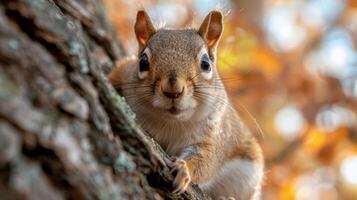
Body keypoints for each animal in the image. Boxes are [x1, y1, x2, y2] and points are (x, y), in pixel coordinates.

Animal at [108, 9, 264, 200]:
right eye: (143, 62)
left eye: (205, 64)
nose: (173, 90)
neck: (170, 122)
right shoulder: (124, 70)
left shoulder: (213, 134)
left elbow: (207, 161)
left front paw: (184, 170)